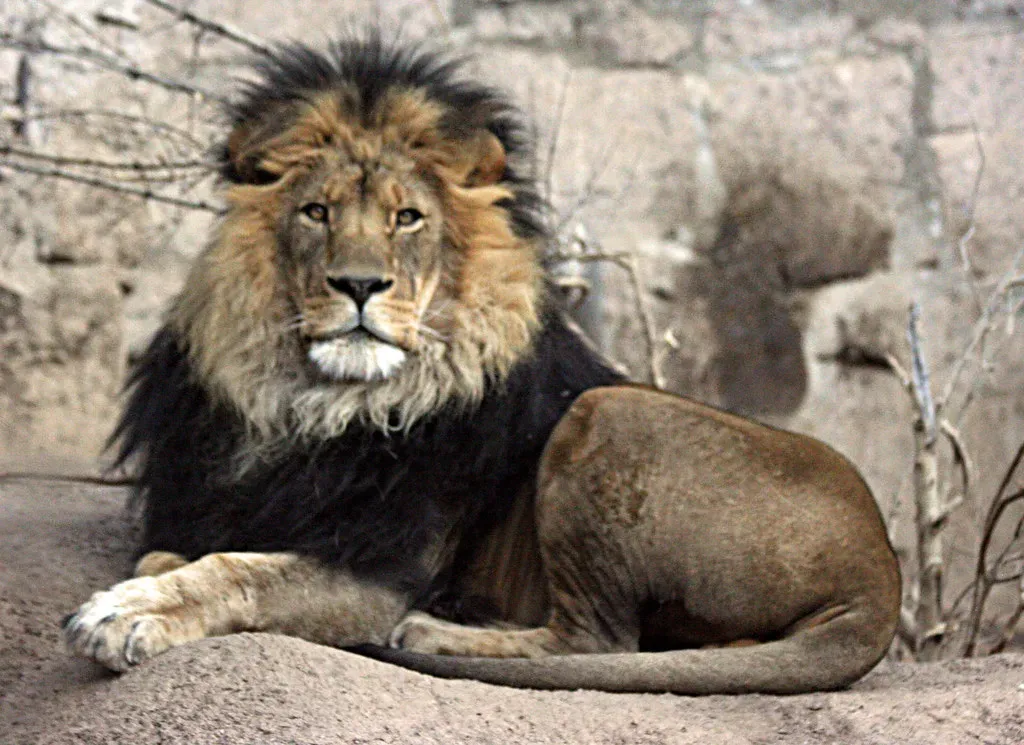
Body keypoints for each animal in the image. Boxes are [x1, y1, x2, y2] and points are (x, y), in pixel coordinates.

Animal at [62, 34, 901, 694]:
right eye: (317, 212)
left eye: (407, 217)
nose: (359, 284)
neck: (312, 401)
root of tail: (880, 572)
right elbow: (179, 549)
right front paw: (143, 583)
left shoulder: (381, 571)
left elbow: (242, 568)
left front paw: (130, 610)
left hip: (608, 411)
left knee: (596, 640)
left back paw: (437, 631)